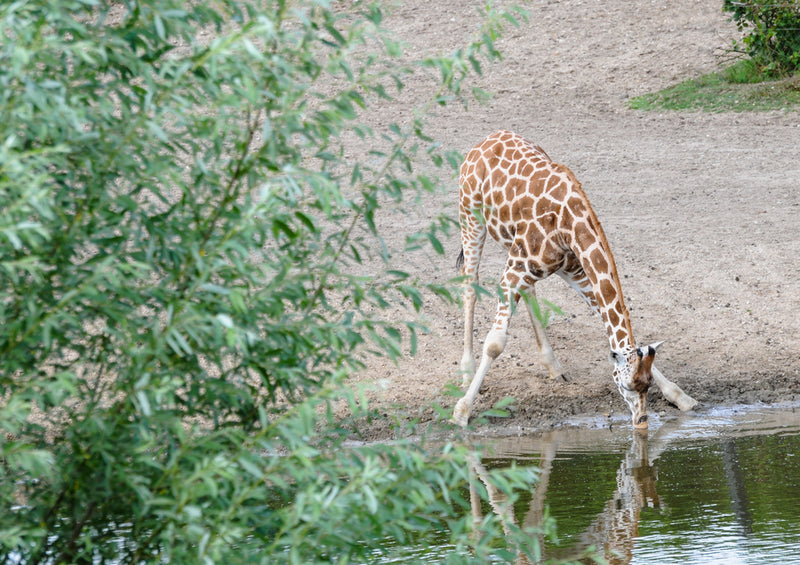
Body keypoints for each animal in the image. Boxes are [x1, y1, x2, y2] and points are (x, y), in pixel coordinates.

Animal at [450, 129, 692, 428]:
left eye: (646, 385)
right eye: (625, 387)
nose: (641, 422)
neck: (570, 225)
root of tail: (485, 140)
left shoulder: (574, 270)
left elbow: (610, 324)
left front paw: (680, 396)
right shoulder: (515, 273)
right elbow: (495, 344)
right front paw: (462, 411)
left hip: (517, 251)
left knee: (528, 290)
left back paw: (553, 367)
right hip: (471, 219)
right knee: (469, 284)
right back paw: (466, 372)